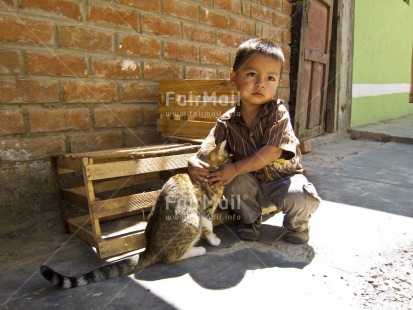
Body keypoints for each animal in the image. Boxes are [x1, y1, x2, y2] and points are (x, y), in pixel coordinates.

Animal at [39, 138, 229, 288]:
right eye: (227, 155)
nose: (232, 156)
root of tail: (150, 248)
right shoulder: (205, 211)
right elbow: (209, 228)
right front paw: (214, 240)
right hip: (192, 222)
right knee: (170, 258)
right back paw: (198, 250)